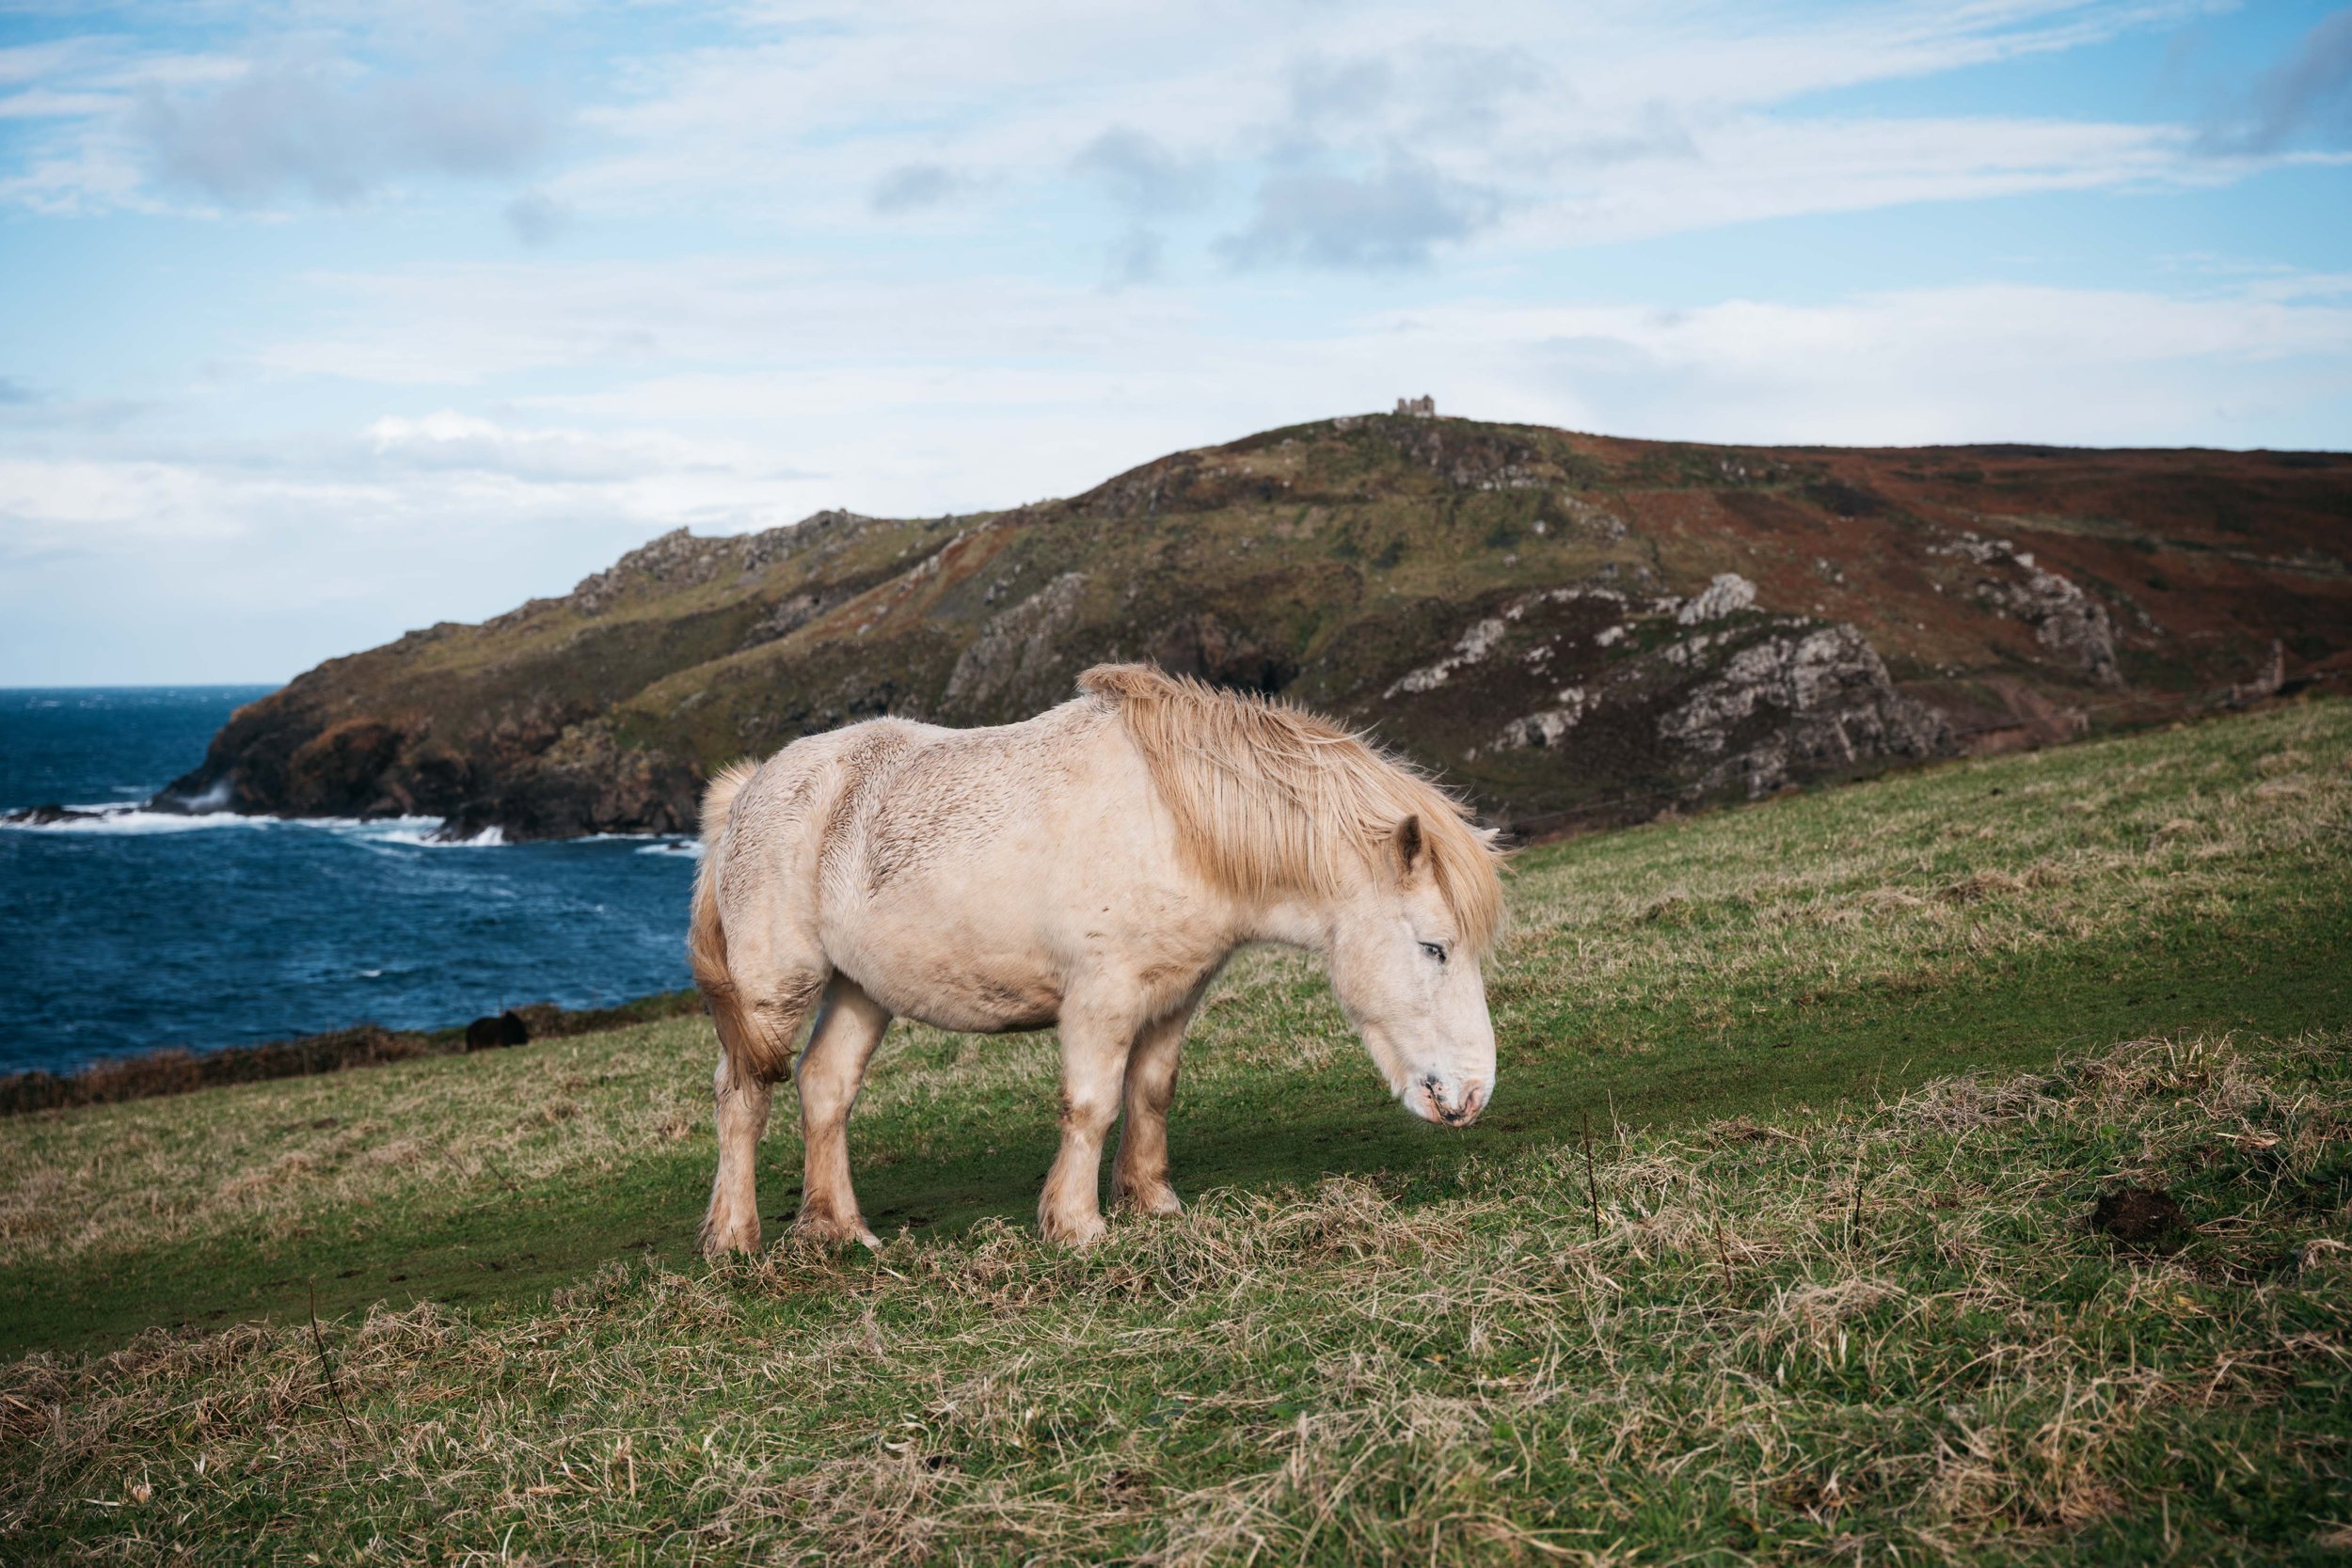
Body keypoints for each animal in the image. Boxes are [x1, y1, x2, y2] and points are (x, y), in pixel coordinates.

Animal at [687, 662, 1496, 1250]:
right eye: (1434, 946)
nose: (1470, 1096)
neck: (1176, 823)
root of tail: (749, 790)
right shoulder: (1101, 998)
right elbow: (1092, 1103)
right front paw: (1077, 1226)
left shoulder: (1174, 993)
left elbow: (1151, 1092)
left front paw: (1151, 1202)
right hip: (776, 987)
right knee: (741, 1096)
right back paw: (735, 1239)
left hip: (860, 988)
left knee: (825, 1086)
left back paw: (841, 1230)